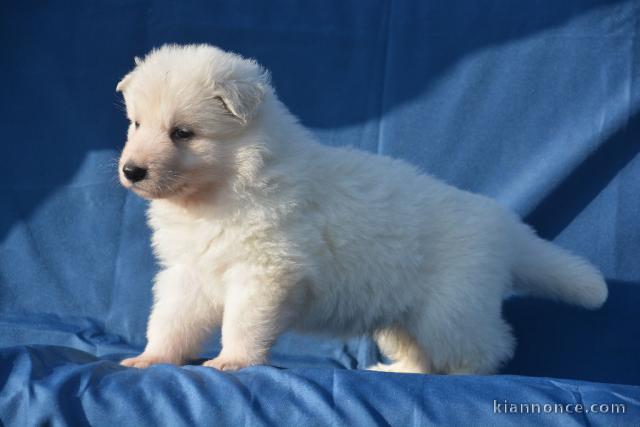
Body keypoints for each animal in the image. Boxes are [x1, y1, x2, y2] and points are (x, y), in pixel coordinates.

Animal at [116, 43, 608, 374]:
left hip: (451, 311)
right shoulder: (188, 272)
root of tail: (504, 224)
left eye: (182, 132)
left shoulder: (265, 272)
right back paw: (398, 372)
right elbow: (170, 318)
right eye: (136, 124)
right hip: (403, 318)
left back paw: (470, 373)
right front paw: (150, 357)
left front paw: (232, 361)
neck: (225, 186)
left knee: (490, 346)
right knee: (422, 355)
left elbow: (243, 322)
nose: (131, 171)